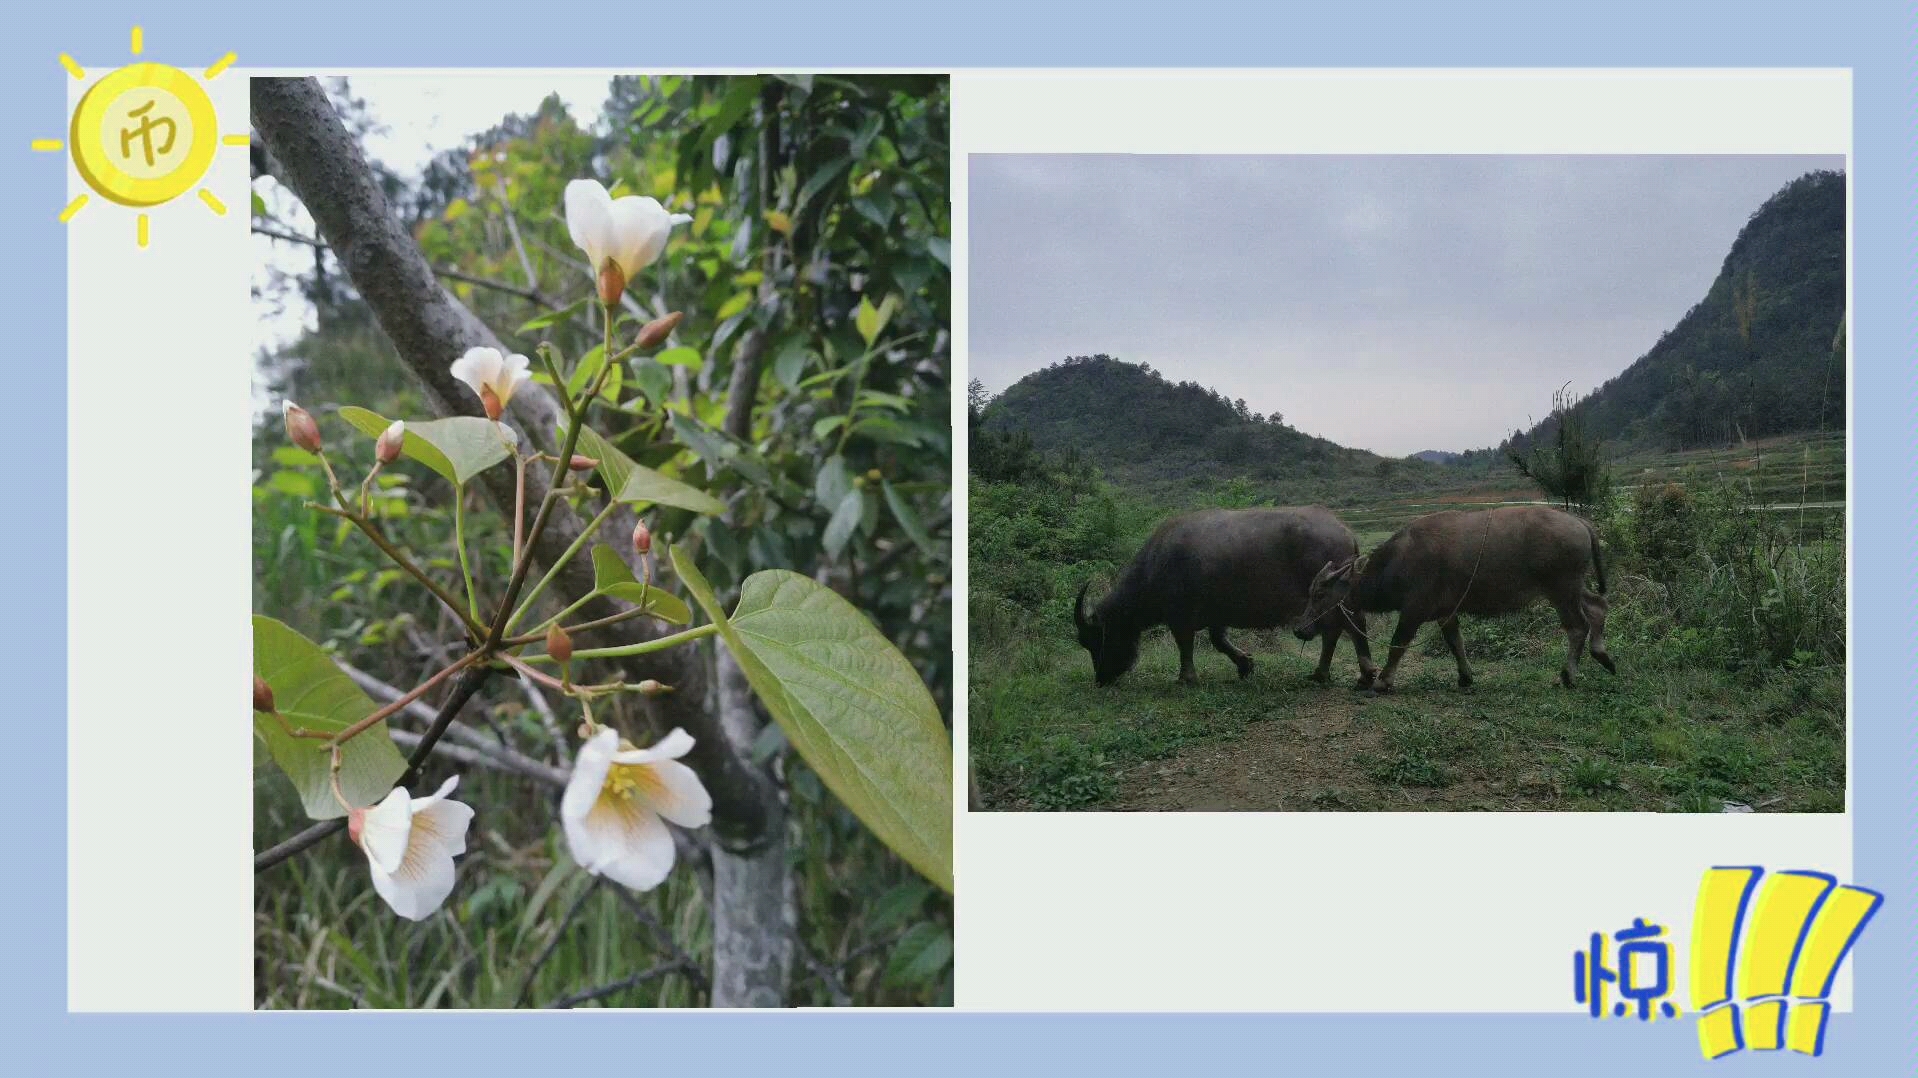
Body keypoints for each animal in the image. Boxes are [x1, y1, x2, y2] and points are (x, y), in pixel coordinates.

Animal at [1074, 506, 1373, 686]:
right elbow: (1218, 641)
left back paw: (1349, 673)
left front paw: (1186, 678)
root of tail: (1346, 532)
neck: (1153, 569)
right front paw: (1245, 665)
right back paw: (1334, 673)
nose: (1101, 679)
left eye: (1096, 640)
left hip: (1328, 596)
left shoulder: (1180, 617)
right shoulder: (1216, 614)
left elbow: (1185, 645)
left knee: (1345, 628)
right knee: (1341, 629)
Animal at [1296, 502, 1611, 686]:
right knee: (1598, 606)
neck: (1399, 561)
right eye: (1311, 591)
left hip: (1561, 589)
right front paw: (1466, 676)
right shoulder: (1446, 612)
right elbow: (1455, 642)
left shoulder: (1414, 610)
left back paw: (1568, 675)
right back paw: (1603, 655)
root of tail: (1580, 522)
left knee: (1577, 626)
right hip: (1574, 586)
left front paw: (1383, 680)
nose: (1300, 629)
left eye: (1320, 592)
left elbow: (1398, 643)